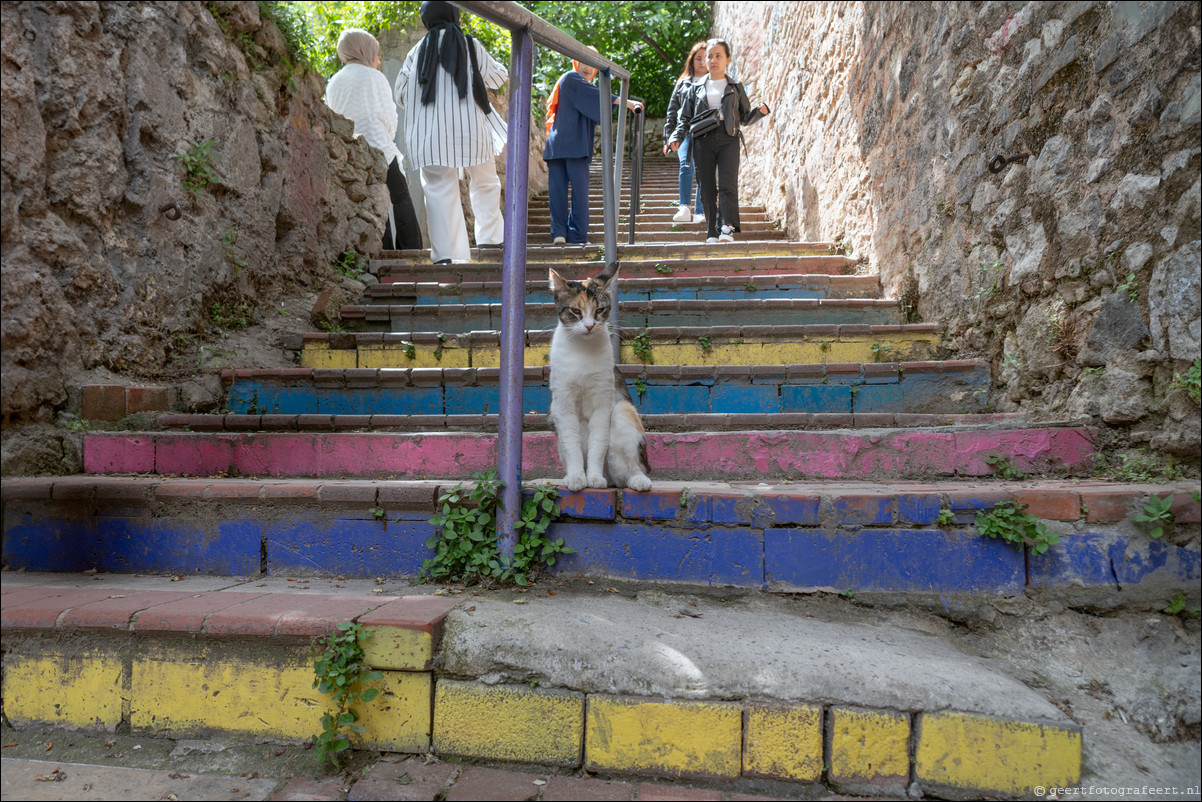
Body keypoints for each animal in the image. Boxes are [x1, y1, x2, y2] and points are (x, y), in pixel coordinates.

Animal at [550, 266, 653, 492]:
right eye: (576, 311)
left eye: (599, 310)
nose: (589, 326)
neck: (582, 350)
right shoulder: (563, 404)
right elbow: (572, 446)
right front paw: (576, 478)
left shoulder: (602, 403)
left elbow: (597, 445)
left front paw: (594, 478)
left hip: (623, 411)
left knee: (629, 471)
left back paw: (637, 480)